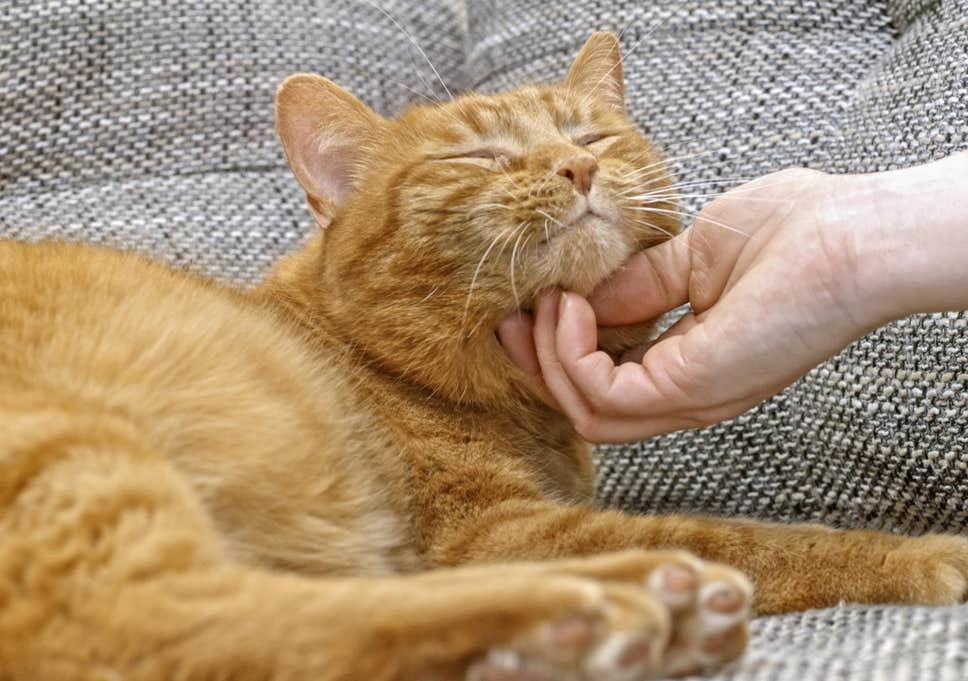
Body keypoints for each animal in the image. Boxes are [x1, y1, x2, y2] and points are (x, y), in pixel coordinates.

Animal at [1, 33, 968, 680]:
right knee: (174, 626)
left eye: (591, 135)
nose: (577, 169)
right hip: (81, 456)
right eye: (480, 154)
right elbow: (749, 538)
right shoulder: (490, 531)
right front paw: (920, 555)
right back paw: (607, 614)